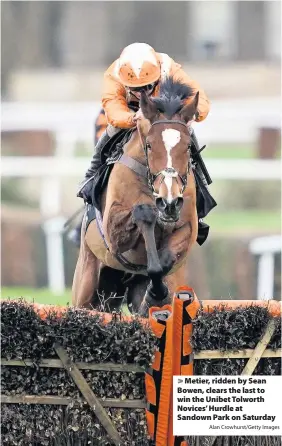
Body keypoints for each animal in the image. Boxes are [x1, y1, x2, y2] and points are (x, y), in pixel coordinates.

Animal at [72, 76, 198, 316]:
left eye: (188, 146)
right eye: (149, 145)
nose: (169, 202)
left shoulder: (186, 228)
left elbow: (163, 262)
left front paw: (155, 294)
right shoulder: (113, 231)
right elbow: (142, 213)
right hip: (86, 282)